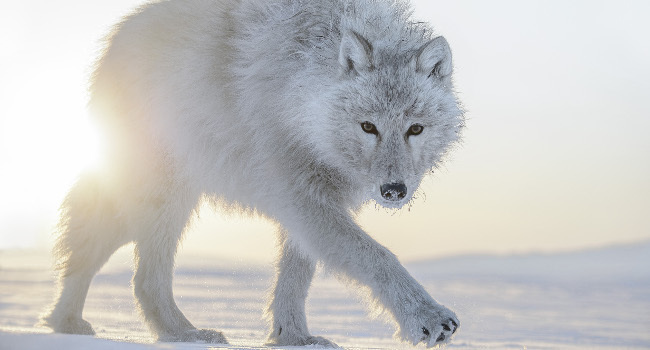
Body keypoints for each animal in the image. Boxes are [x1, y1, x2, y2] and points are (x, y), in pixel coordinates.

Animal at [40, 0, 464, 346]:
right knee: (142, 278)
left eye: (415, 129)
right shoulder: (299, 193)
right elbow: (378, 257)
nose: (393, 190)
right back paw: (184, 333)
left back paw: (66, 323)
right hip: (164, 200)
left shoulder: (313, 200)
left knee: (86, 252)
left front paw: (293, 337)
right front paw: (427, 317)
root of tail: (118, 36)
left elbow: (296, 277)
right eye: (368, 127)